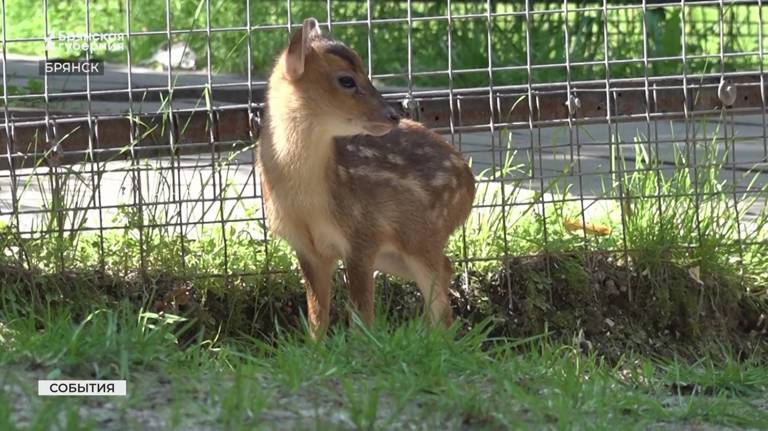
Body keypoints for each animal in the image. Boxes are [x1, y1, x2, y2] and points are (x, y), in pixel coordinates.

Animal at [258, 19, 474, 338]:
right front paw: (315, 347)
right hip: (398, 251)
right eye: (346, 80)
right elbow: (317, 317)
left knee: (441, 294)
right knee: (447, 268)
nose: (393, 115)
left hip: (424, 233)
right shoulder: (306, 247)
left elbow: (361, 315)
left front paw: (363, 346)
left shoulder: (362, 234)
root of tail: (470, 180)